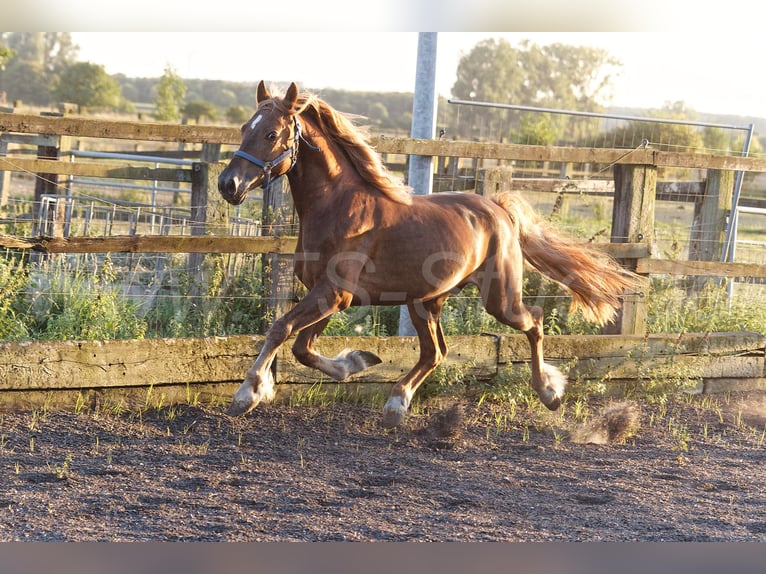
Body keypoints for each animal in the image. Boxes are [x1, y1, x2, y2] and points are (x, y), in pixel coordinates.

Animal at [218, 81, 638, 428]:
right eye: (244, 129)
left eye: (271, 133)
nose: (228, 184)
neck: (337, 206)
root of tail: (499, 209)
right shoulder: (330, 296)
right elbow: (302, 347)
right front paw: (355, 362)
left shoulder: (333, 293)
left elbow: (281, 329)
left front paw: (247, 394)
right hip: (424, 301)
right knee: (435, 353)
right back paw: (396, 405)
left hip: (499, 298)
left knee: (533, 322)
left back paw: (549, 393)